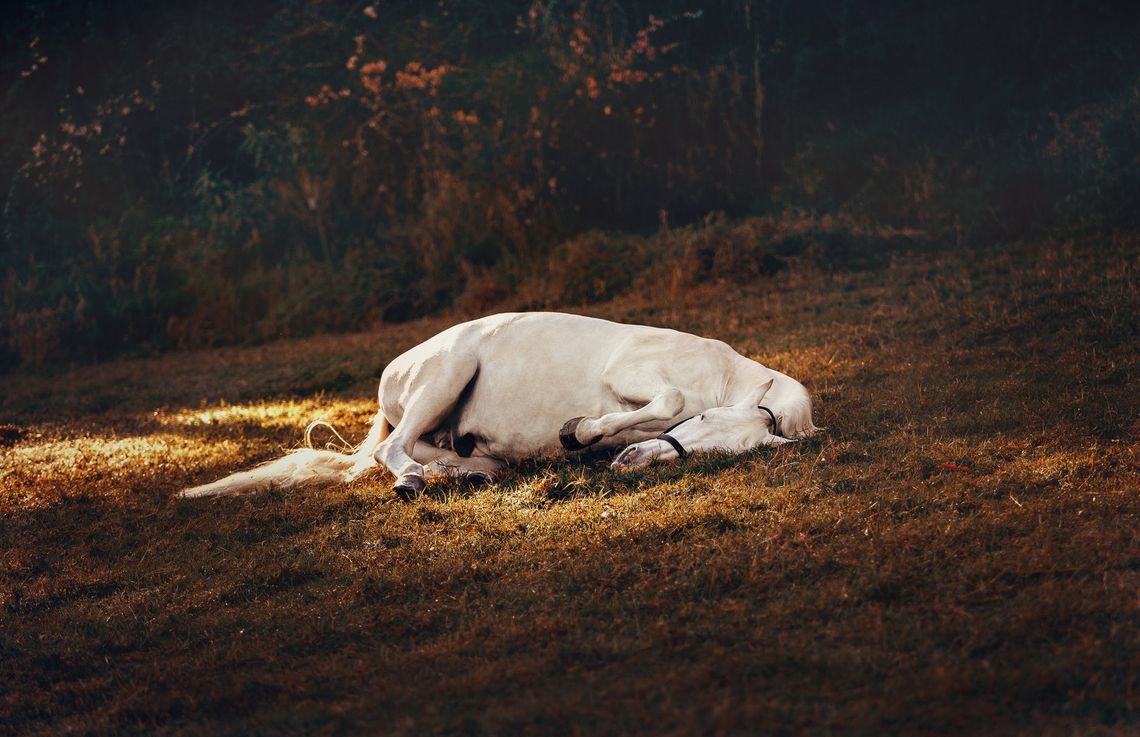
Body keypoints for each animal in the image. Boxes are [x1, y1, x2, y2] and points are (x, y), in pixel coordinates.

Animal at [177, 312, 820, 501]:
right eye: (702, 423)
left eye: (716, 455)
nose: (631, 463)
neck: (721, 373)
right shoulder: (633, 375)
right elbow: (666, 398)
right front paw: (578, 431)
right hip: (446, 374)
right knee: (393, 452)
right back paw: (413, 481)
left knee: (433, 452)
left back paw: (466, 473)